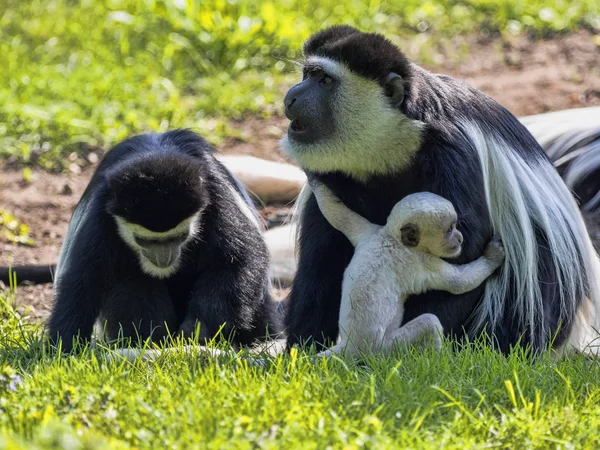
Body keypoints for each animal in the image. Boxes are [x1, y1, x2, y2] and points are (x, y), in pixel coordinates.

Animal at [47, 129, 282, 352]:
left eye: (180, 237)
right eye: (143, 240)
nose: (163, 258)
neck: (155, 151)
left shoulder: (216, 197)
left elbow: (237, 260)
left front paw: (197, 331)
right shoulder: (101, 215)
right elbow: (84, 279)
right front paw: (64, 347)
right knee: (131, 282)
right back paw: (151, 340)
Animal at [310, 181, 506, 356]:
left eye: (455, 227)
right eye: (449, 230)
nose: (459, 238)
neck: (392, 238)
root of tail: (350, 347)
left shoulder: (368, 232)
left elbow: (336, 213)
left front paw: (314, 182)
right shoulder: (422, 262)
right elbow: (458, 283)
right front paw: (492, 256)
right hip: (383, 349)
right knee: (429, 322)